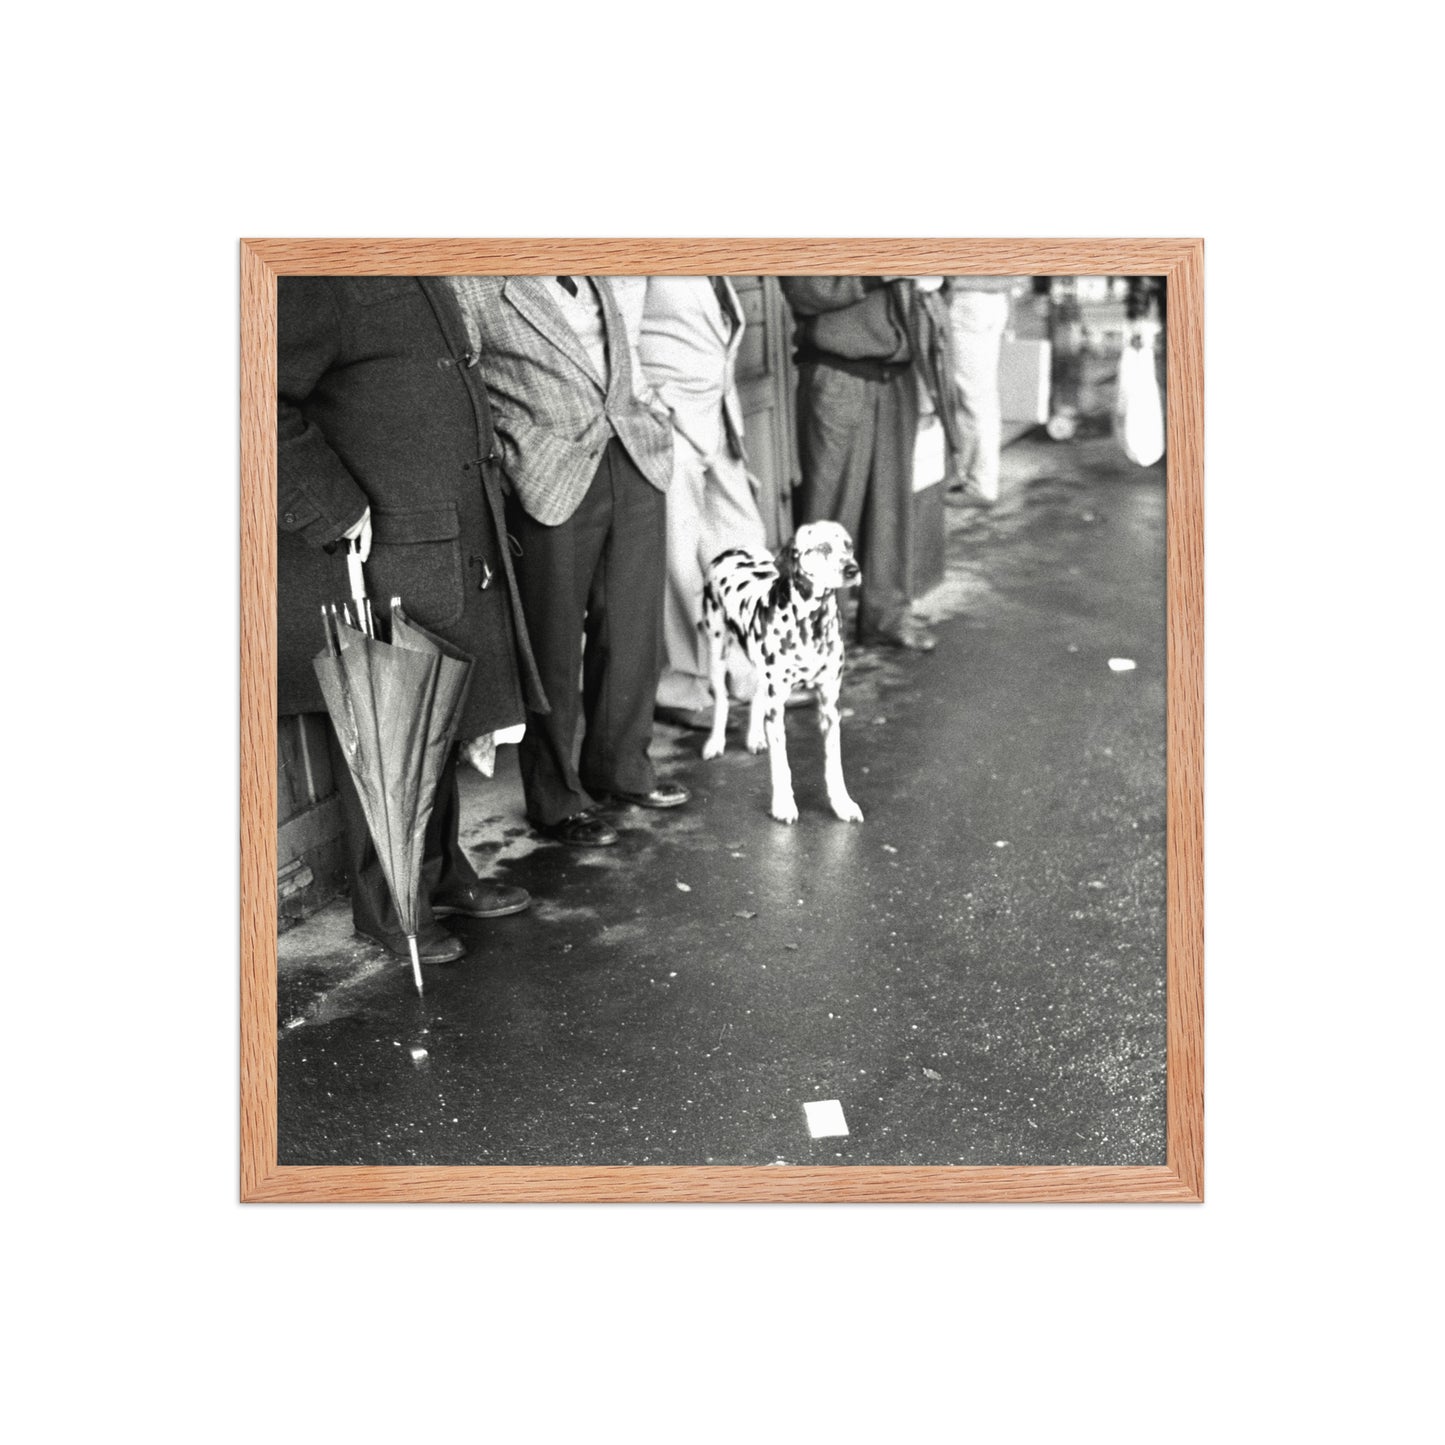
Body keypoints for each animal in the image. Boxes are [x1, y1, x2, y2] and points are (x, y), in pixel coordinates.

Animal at [700, 520, 863, 824]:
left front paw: (842, 804)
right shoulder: (777, 710)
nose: (852, 570)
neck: (812, 624)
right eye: (823, 547)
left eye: (848, 546)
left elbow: (834, 764)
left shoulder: (830, 705)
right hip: (717, 652)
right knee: (723, 700)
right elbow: (781, 765)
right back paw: (715, 741)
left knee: (755, 697)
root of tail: (733, 550)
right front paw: (783, 805)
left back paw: (754, 737)